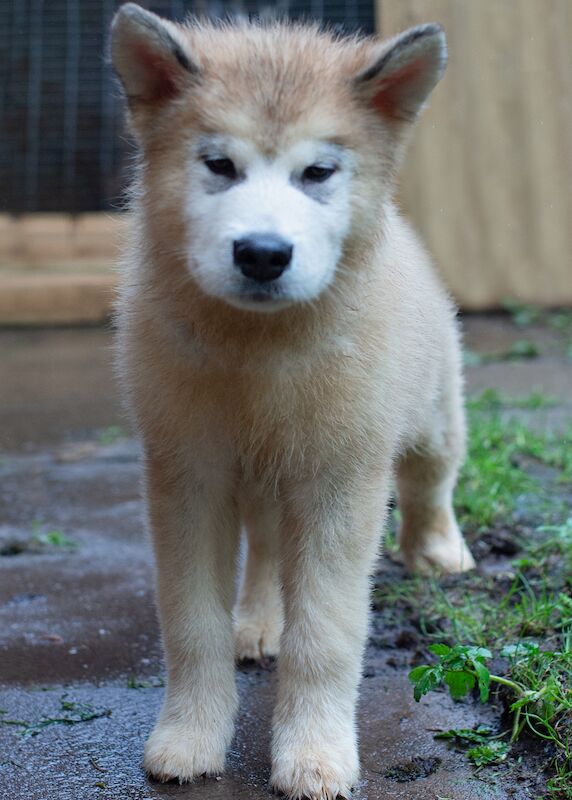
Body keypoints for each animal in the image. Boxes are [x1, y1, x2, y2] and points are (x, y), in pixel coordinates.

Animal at [111, 4, 474, 792]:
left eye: (318, 173)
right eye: (219, 166)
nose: (263, 254)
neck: (258, 351)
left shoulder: (341, 483)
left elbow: (326, 636)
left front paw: (315, 755)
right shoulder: (188, 475)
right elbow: (192, 625)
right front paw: (189, 737)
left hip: (431, 414)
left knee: (431, 479)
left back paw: (438, 549)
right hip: (263, 478)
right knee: (270, 550)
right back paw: (258, 621)